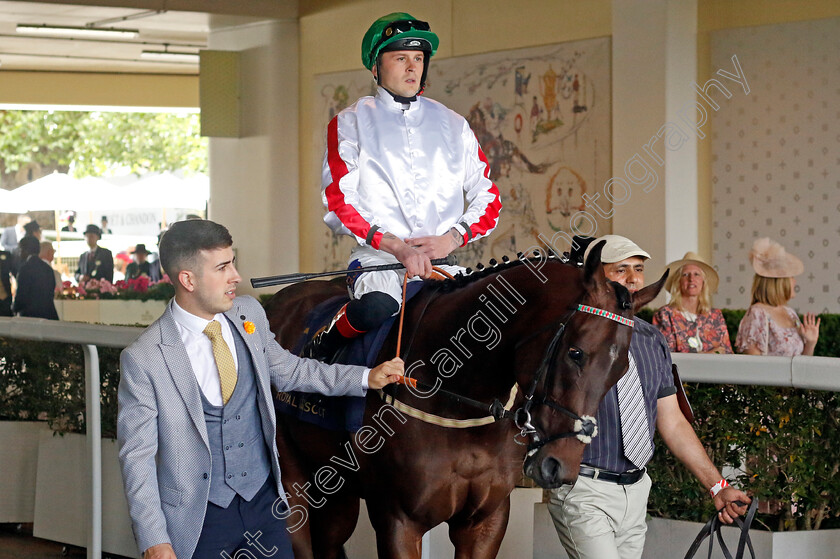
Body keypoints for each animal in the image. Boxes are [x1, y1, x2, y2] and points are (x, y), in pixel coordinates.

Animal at [266, 245, 668, 559]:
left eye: (620, 369)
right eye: (576, 353)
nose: (560, 466)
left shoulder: (486, 520)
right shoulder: (398, 520)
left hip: (338, 492)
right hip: (293, 483)